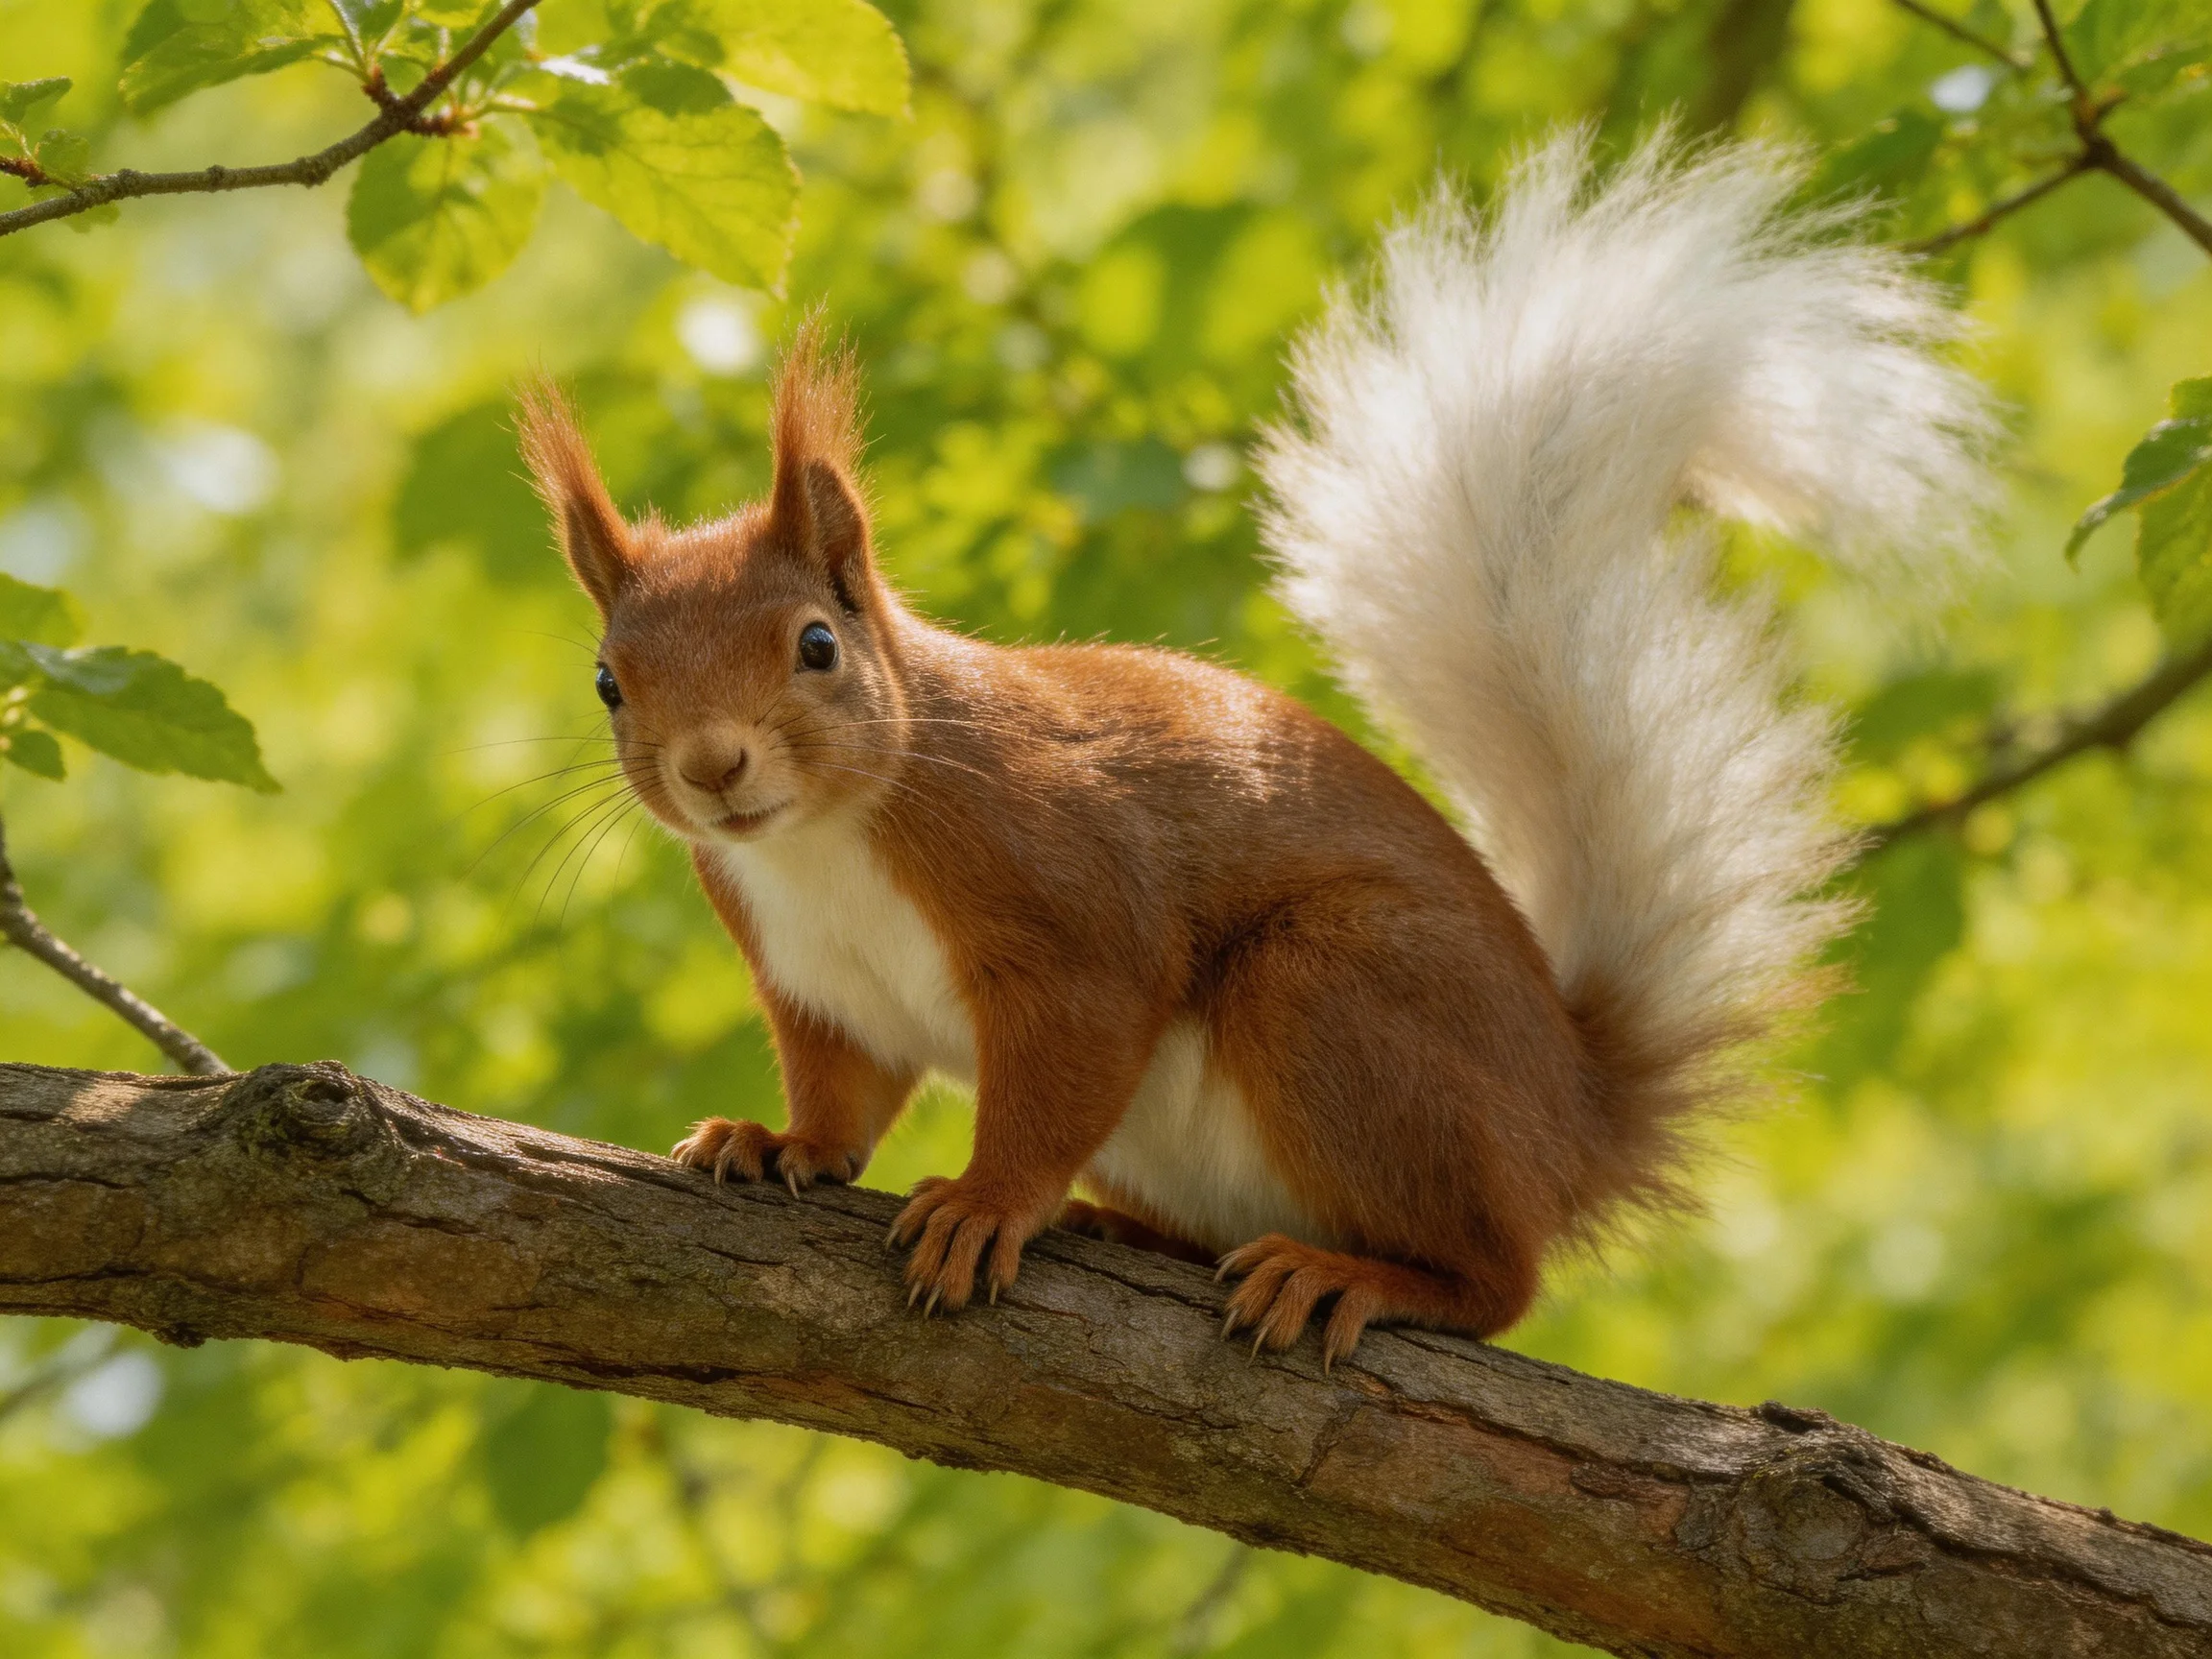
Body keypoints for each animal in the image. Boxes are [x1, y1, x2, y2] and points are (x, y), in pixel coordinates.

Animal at [516, 131, 1990, 1367]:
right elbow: (846, 1092)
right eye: (608, 682)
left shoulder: (1066, 904)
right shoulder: (815, 982)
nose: (712, 768)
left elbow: (1062, 1063)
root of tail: (1570, 1125)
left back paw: (1355, 1277)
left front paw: (987, 1203)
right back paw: (1126, 1228)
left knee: (1498, 1283)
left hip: (1336, 993)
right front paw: (774, 1141)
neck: (829, 841)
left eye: (818, 645)